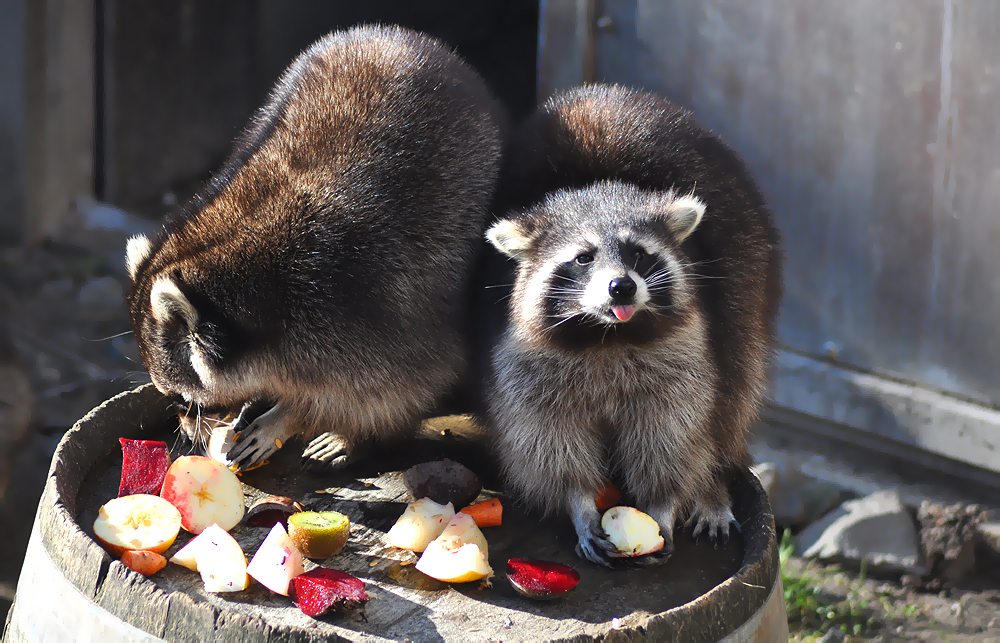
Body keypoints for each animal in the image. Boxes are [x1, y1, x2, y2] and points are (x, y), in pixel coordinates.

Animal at [124, 25, 500, 470]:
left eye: (184, 400)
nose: (188, 432)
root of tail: (396, 34)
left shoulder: (371, 305)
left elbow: (397, 390)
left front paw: (292, 415)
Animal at [482, 83, 780, 568]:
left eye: (638, 254)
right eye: (584, 258)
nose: (621, 287)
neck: (607, 336)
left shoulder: (680, 358)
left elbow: (671, 432)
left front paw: (665, 501)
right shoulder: (522, 365)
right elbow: (546, 438)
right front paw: (579, 501)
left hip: (748, 263)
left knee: (733, 387)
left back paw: (712, 486)